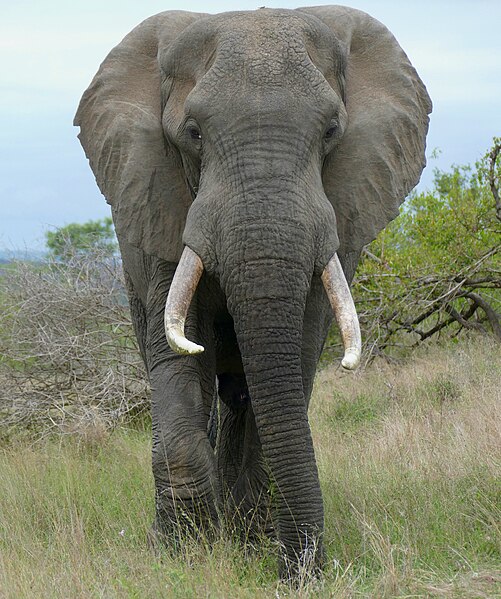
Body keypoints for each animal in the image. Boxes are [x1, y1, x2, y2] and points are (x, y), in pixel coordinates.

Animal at [74, 3, 430, 576]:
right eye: (193, 133)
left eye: (332, 131)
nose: (304, 572)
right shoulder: (160, 200)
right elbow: (178, 355)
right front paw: (182, 555)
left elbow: (297, 351)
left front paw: (254, 547)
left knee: (243, 395)